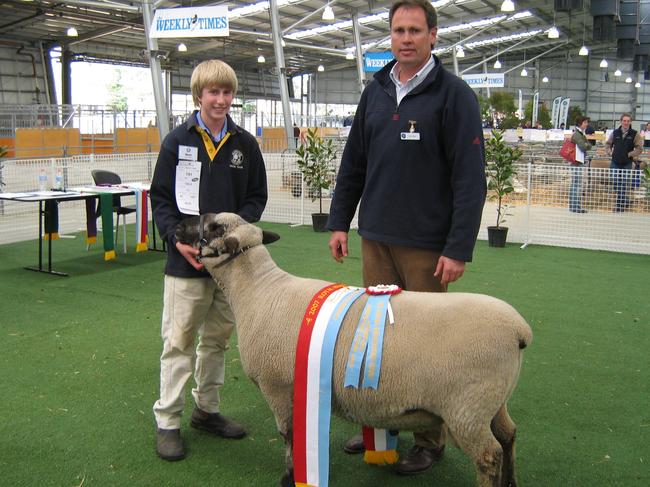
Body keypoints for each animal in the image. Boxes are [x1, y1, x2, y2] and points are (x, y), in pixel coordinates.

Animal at [173, 214, 532, 487]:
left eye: (212, 226)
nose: (178, 225)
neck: (259, 290)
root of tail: (519, 330)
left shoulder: (278, 388)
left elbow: (289, 435)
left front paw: (290, 477)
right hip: (492, 400)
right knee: (509, 436)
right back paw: (512, 482)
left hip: (467, 408)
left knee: (489, 455)